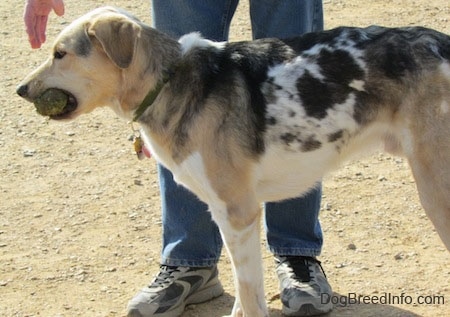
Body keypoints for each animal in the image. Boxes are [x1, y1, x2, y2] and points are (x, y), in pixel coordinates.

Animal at [16, 6, 450, 314]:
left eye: (60, 53)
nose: (20, 89)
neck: (168, 81)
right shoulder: (227, 213)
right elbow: (243, 288)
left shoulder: (239, 212)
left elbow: (250, 290)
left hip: (436, 190)